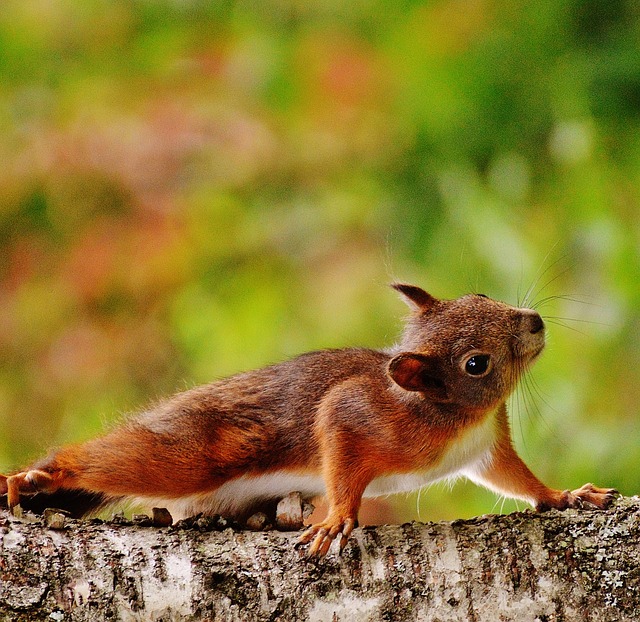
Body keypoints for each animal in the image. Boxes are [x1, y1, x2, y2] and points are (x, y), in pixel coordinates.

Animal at [1, 286, 620, 560]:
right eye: (476, 364)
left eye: (481, 294)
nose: (535, 321)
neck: (456, 416)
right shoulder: (356, 414)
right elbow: (337, 439)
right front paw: (339, 517)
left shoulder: (489, 447)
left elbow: (518, 480)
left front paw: (565, 496)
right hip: (188, 457)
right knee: (118, 460)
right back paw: (39, 477)